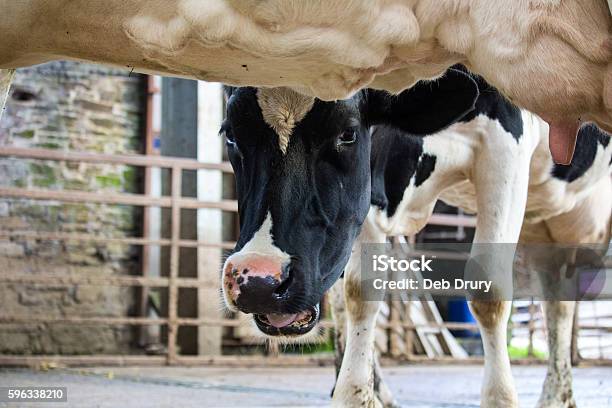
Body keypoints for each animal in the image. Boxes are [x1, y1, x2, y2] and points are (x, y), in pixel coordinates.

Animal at [221, 71, 612, 408]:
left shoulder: (505, 145)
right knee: (558, 303)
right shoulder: (366, 200)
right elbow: (360, 291)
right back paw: (557, 396)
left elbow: (488, 292)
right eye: (230, 134)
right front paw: (355, 395)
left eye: (347, 133)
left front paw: (499, 399)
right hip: (545, 221)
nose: (258, 282)